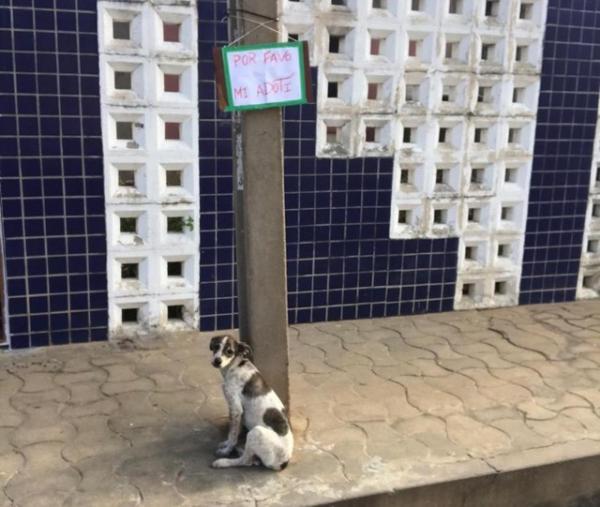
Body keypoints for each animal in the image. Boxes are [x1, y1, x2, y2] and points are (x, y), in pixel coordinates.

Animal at [209, 336, 292, 470]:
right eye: (216, 346)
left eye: (229, 351)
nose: (217, 361)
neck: (235, 366)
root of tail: (284, 463)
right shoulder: (235, 411)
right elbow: (234, 431)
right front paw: (227, 444)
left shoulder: (236, 408)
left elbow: (233, 435)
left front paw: (227, 450)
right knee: (252, 459)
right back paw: (241, 451)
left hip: (256, 432)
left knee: (245, 461)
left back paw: (223, 462)